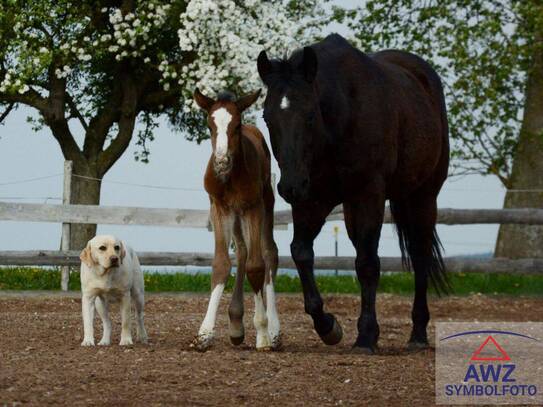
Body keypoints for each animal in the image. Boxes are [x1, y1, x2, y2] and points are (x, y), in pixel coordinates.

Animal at [194, 88, 280, 350]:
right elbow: (222, 264)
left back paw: (273, 330)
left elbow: (257, 266)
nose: (221, 162)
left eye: (236, 125)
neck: (229, 177)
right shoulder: (219, 208)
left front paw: (263, 332)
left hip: (266, 203)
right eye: (209, 125)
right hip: (236, 215)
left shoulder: (253, 207)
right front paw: (204, 333)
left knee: (268, 253)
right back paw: (236, 325)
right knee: (242, 251)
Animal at [260, 34, 450, 354]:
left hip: (423, 196)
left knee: (419, 255)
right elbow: (301, 252)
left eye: (309, 115)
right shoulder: (312, 200)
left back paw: (418, 333)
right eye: (267, 117)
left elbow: (367, 263)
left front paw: (366, 336)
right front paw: (328, 326)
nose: (289, 186)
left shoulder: (369, 195)